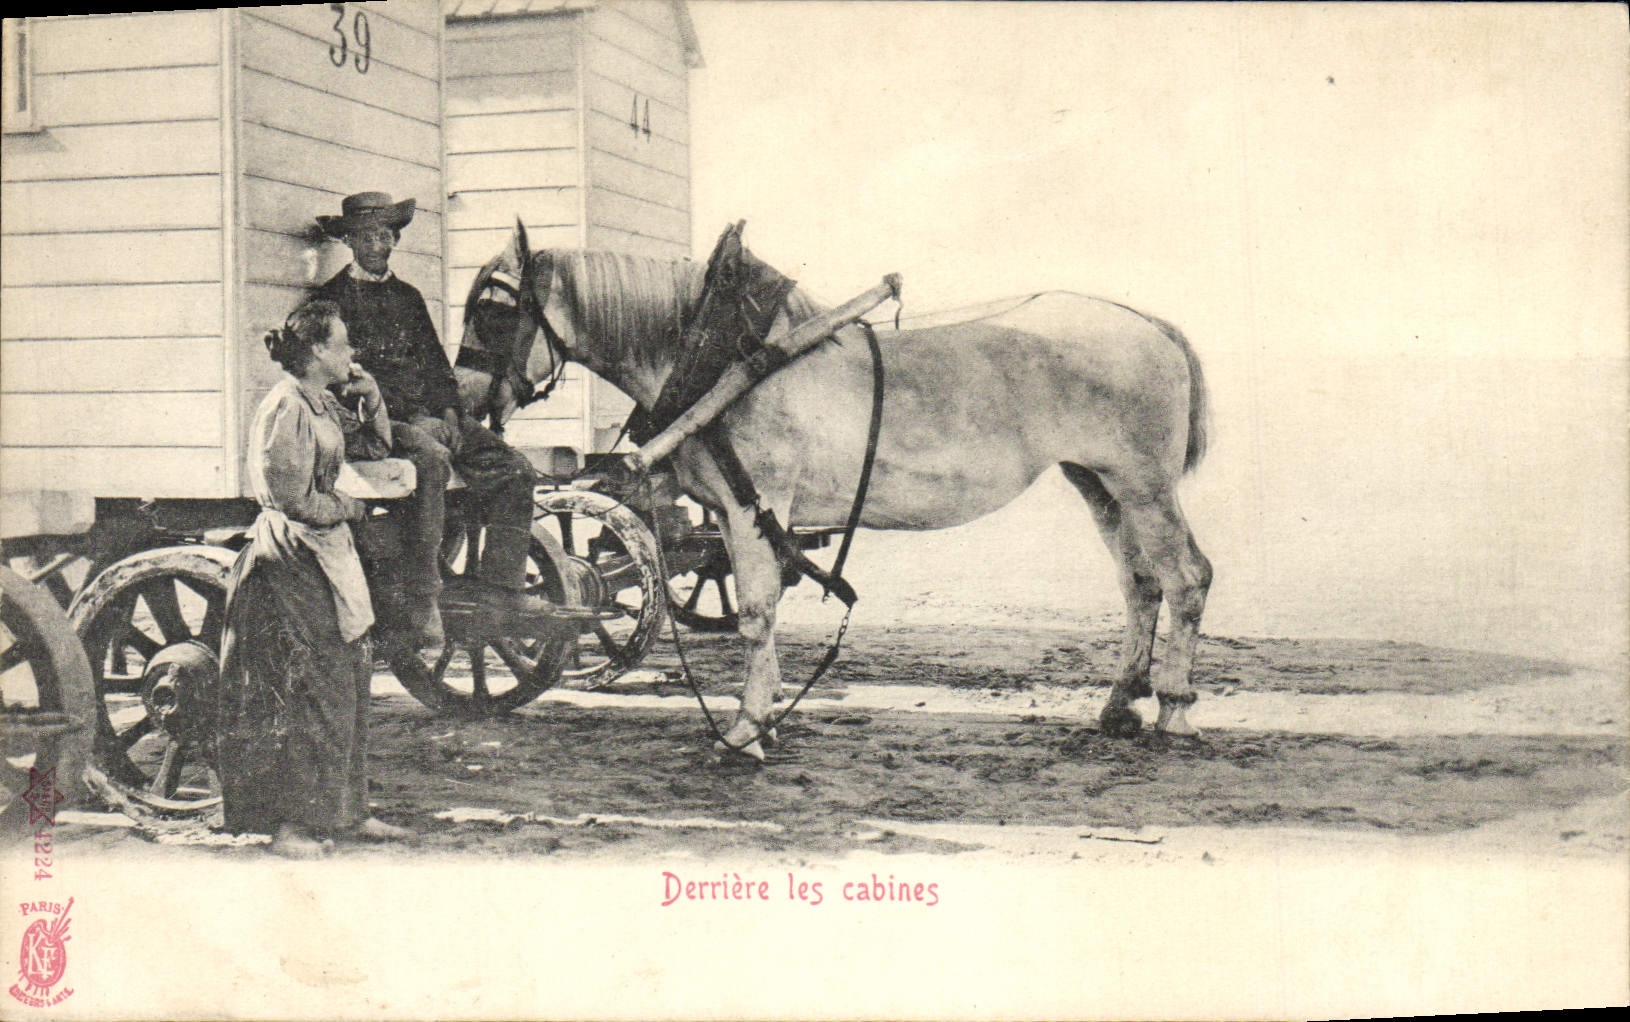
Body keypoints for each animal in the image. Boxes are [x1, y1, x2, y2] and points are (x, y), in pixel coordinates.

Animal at [456, 224, 1212, 759]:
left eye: (495, 312)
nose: (462, 399)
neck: (725, 357)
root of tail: (1149, 324)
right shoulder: (736, 514)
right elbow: (755, 612)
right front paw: (765, 716)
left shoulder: (754, 507)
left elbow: (755, 613)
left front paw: (746, 731)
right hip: (1099, 483)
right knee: (1139, 584)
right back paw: (1119, 703)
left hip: (1143, 485)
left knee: (1185, 578)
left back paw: (1174, 707)